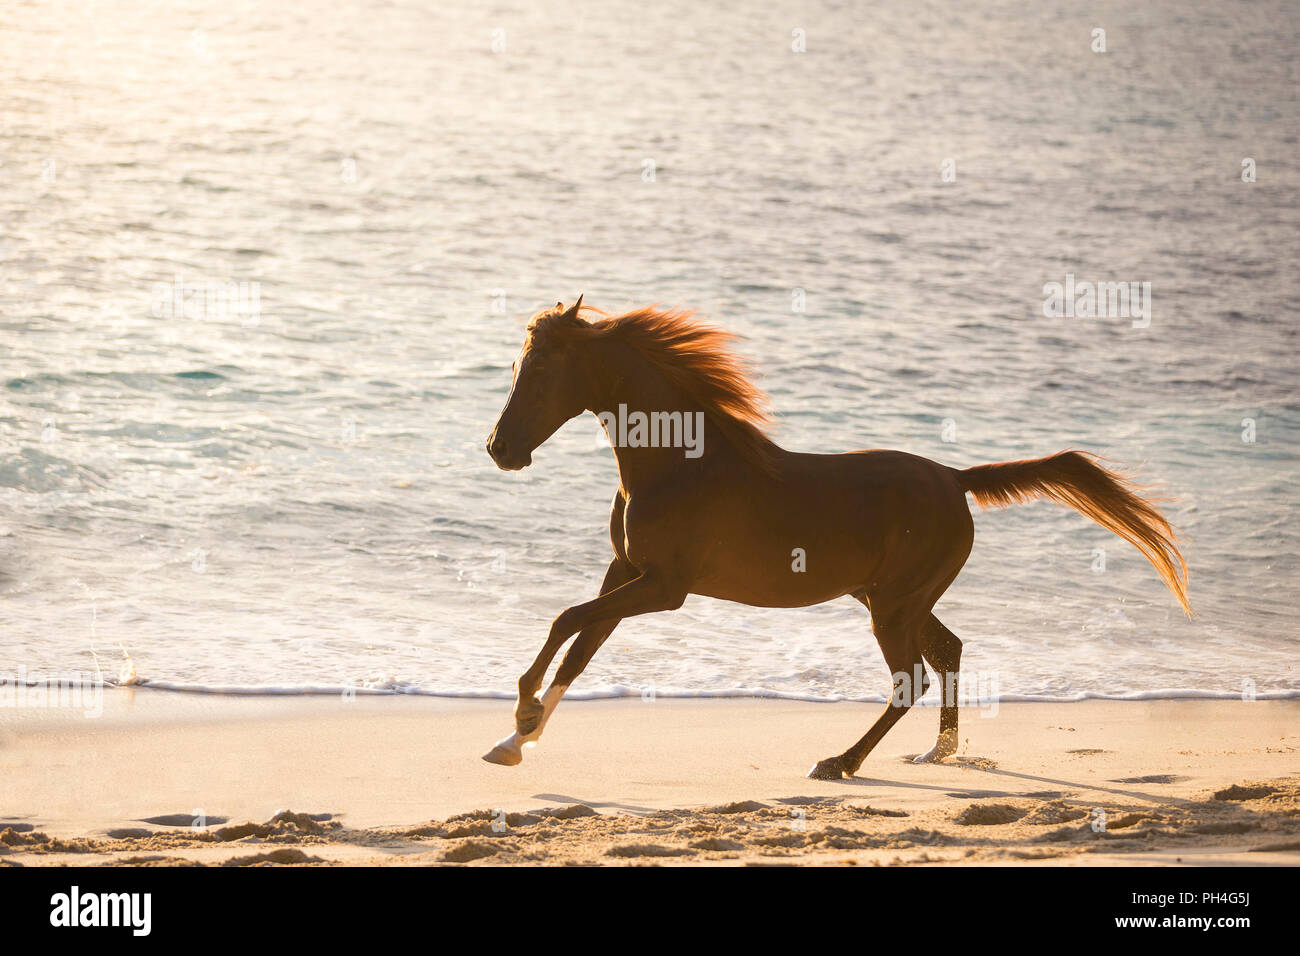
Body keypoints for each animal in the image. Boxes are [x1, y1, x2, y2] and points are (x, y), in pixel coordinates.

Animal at [483, 299, 1190, 780]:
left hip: (893, 605)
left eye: (540, 371)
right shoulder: (625, 571)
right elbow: (579, 647)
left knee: (912, 677)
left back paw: (840, 762)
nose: (499, 450)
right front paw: (516, 742)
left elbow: (566, 620)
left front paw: (520, 718)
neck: (678, 465)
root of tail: (957, 481)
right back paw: (937, 753)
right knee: (949, 653)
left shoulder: (664, 587)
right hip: (888, 598)